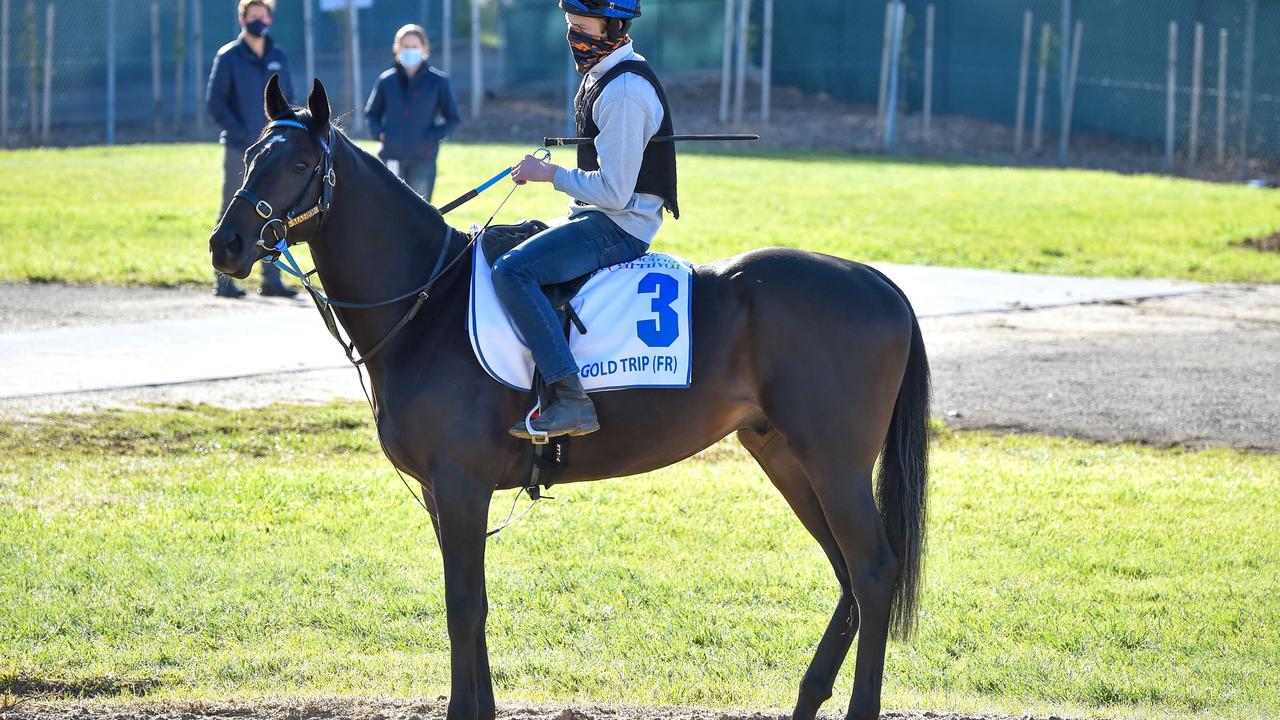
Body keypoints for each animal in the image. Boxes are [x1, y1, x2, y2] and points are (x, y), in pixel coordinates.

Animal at [207, 78, 931, 717]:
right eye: (250, 155)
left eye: (301, 162)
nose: (227, 243)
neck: (429, 302)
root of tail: (876, 281)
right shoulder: (444, 496)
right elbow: (474, 608)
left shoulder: (461, 485)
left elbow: (463, 607)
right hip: (786, 457)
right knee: (847, 574)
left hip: (834, 465)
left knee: (872, 573)